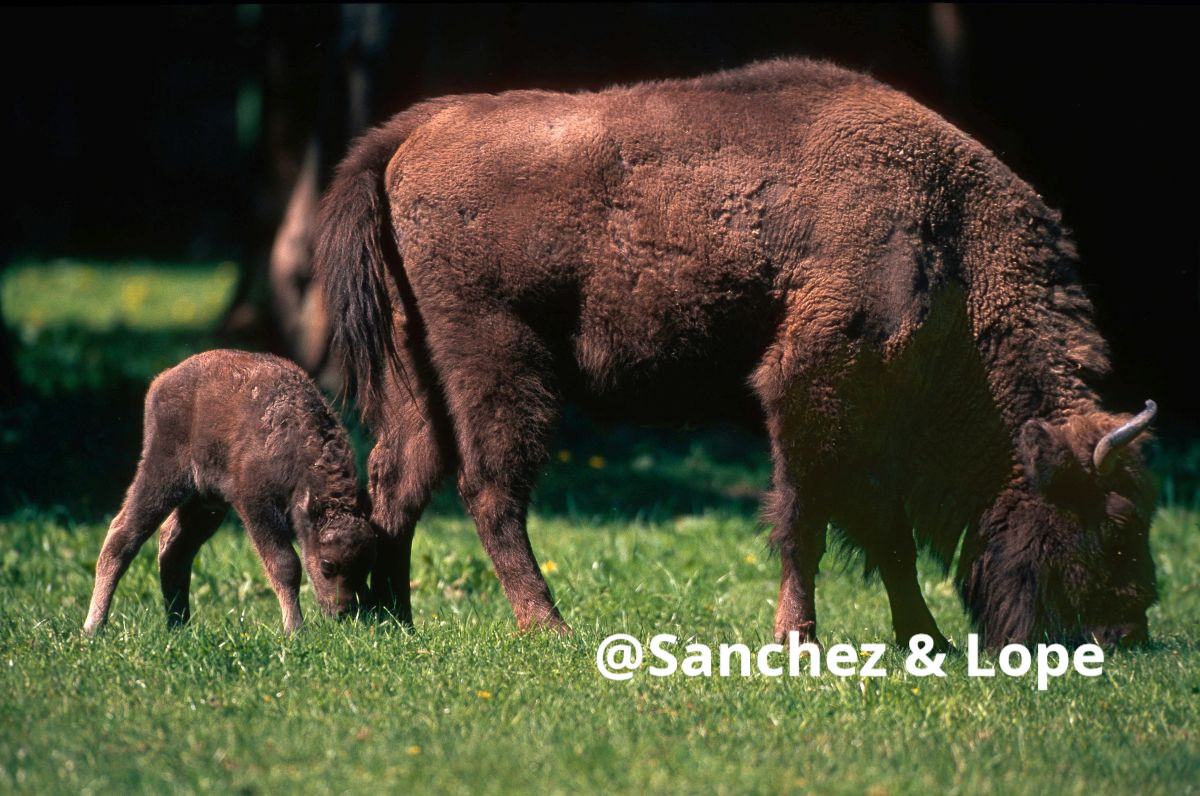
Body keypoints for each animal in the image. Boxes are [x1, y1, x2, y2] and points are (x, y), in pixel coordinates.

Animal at [84, 350, 376, 634]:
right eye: (327, 564)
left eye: (366, 564)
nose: (345, 611)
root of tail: (162, 381)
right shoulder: (256, 505)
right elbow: (285, 564)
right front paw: (295, 629)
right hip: (163, 476)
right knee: (123, 534)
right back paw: (94, 627)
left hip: (205, 503)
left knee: (175, 547)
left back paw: (179, 626)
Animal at [314, 58, 1158, 650]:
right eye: (1116, 522)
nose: (1128, 631)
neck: (948, 235)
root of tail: (415, 134)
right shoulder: (811, 389)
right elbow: (807, 522)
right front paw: (798, 639)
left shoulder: (875, 423)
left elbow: (885, 534)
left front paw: (929, 641)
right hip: (500, 364)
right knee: (490, 490)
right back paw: (550, 628)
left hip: (417, 377)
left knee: (398, 479)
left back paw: (391, 621)